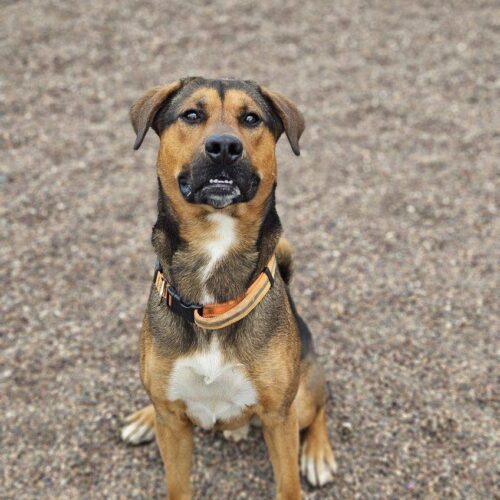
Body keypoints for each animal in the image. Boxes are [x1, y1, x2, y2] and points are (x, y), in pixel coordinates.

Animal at [123, 76, 338, 498]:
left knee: (317, 406)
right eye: (192, 114)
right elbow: (177, 485)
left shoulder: (278, 418)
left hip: (300, 399)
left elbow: (289, 486)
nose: (224, 147)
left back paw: (318, 453)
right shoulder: (173, 424)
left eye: (251, 118)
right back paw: (144, 417)